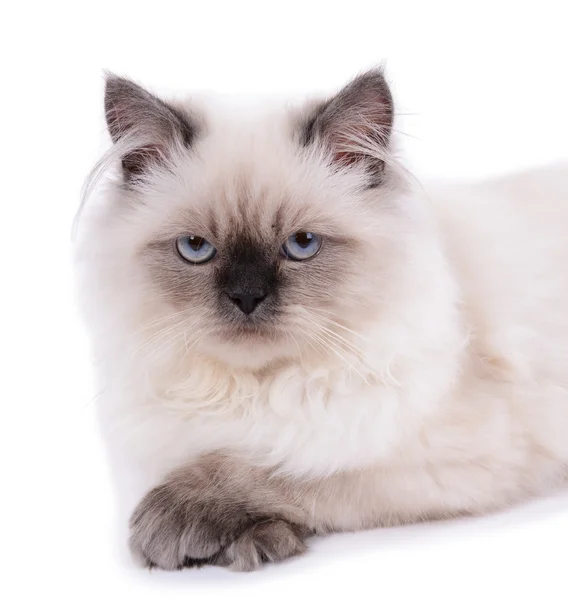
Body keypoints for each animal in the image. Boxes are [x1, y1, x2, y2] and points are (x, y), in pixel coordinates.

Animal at [75, 70, 568, 572]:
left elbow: (285, 468)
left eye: (302, 244)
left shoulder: (444, 459)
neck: (251, 392)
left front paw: (188, 523)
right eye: (196, 248)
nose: (247, 297)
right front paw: (248, 541)